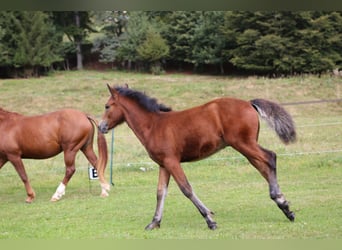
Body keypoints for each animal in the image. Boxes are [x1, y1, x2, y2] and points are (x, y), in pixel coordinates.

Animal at [99, 85, 296, 229]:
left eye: (107, 106)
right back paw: (285, 206)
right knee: (264, 166)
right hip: (246, 147)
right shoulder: (164, 165)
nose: (101, 127)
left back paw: (281, 201)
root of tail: (249, 103)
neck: (154, 125)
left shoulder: (172, 161)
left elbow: (186, 188)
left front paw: (210, 219)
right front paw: (154, 222)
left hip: (244, 144)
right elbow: (160, 192)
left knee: (270, 157)